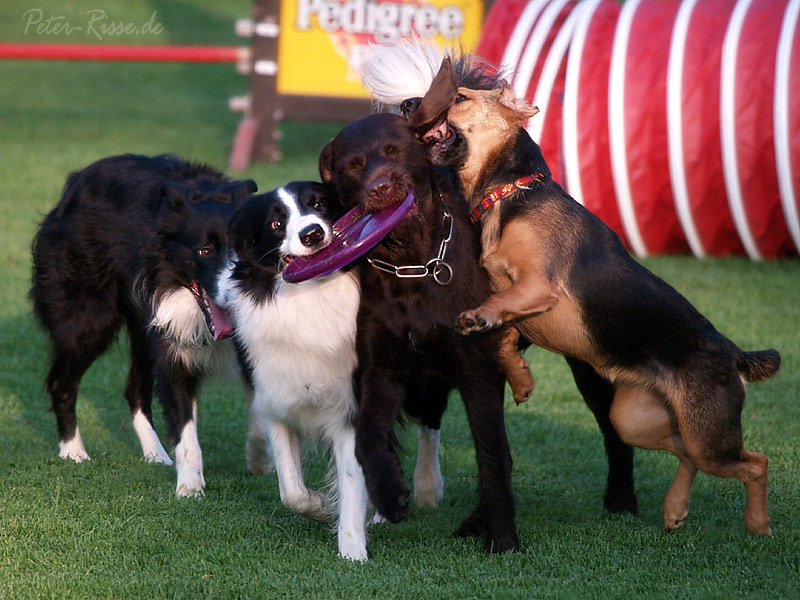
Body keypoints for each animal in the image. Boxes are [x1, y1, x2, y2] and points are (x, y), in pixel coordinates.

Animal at [412, 61, 780, 536]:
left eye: (459, 97)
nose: (410, 105)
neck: (510, 190)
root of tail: (734, 352)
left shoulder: (536, 285)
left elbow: (496, 311)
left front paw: (475, 319)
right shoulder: (519, 302)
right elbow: (507, 339)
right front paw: (522, 381)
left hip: (709, 435)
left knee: (756, 462)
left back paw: (759, 525)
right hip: (633, 419)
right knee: (685, 453)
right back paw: (675, 509)